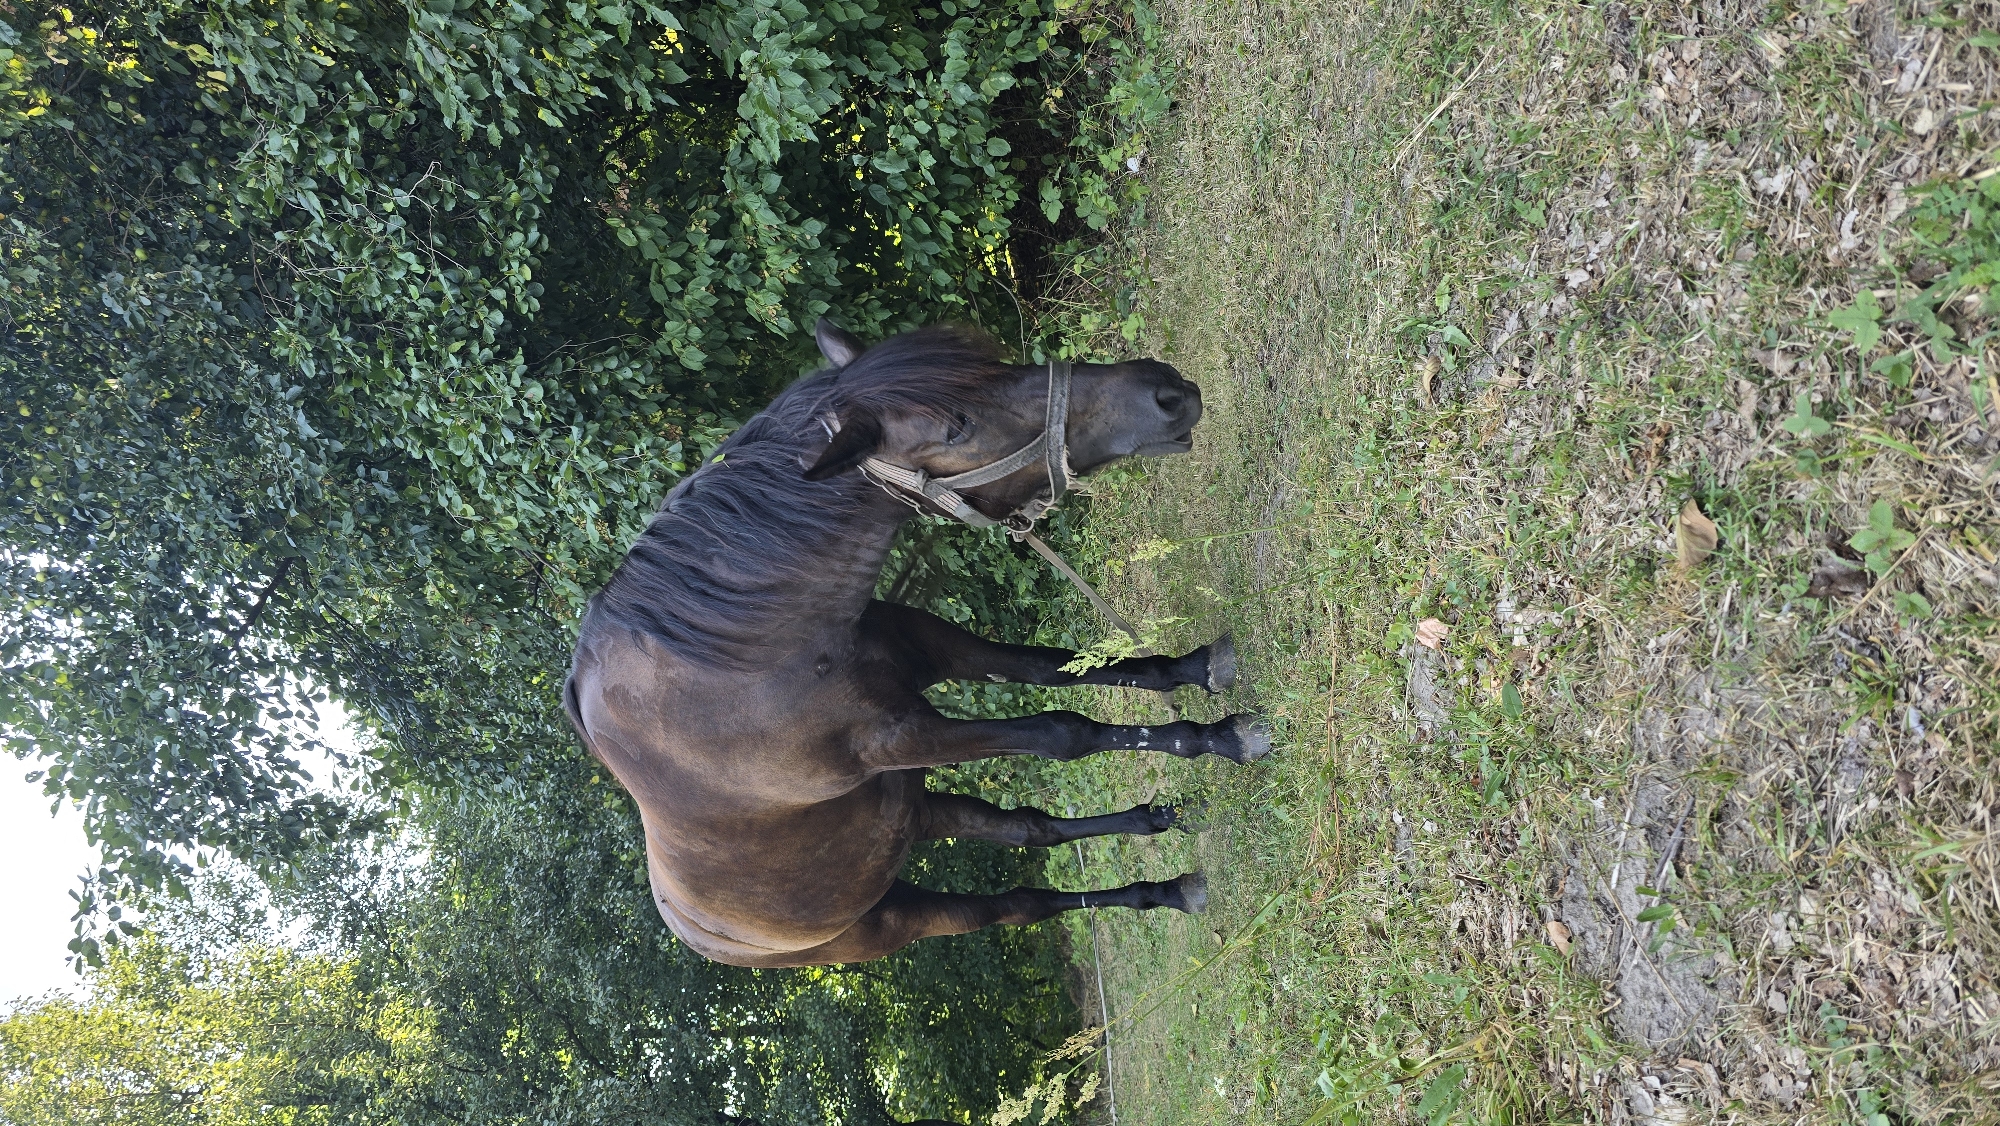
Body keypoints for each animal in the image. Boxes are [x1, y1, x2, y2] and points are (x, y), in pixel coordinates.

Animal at [563, 320, 1269, 968]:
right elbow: (1063, 731)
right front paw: (1218, 738)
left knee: (1029, 836)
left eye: (994, 364)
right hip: (902, 916)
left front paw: (1199, 678)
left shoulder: (940, 649)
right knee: (1014, 906)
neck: (751, 656)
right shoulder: (901, 738)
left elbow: (1059, 669)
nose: (1166, 392)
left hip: (914, 814)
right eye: (956, 428)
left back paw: (1159, 865)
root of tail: (697, 933)